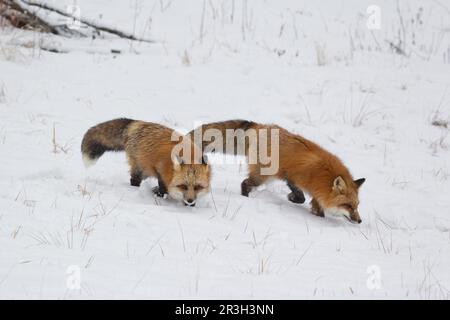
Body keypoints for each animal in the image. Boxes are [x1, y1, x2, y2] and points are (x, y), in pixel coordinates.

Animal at [81, 119, 211, 206]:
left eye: (198, 187)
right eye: (183, 186)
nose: (190, 201)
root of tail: (137, 123)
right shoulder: (159, 170)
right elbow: (163, 188)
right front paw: (160, 196)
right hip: (141, 170)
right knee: (134, 180)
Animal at [190, 120, 366, 222]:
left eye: (357, 205)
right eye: (348, 205)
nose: (359, 221)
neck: (325, 174)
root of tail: (261, 126)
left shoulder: (297, 180)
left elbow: (306, 199)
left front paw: (294, 199)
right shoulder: (298, 179)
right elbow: (308, 202)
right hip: (262, 175)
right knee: (245, 183)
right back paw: (245, 198)